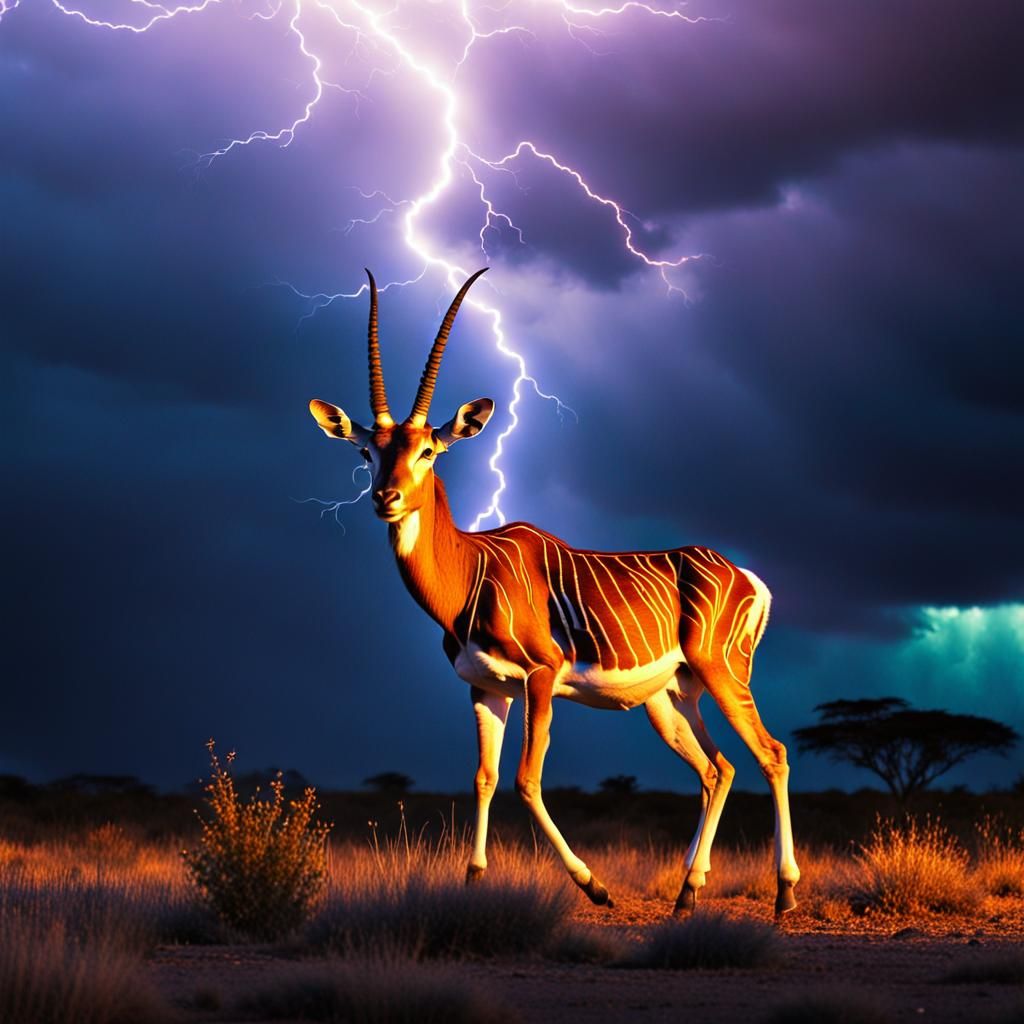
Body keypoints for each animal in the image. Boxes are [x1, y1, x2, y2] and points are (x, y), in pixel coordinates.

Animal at [308, 269, 800, 915]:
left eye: (429, 450)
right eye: (368, 450)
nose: (385, 498)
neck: (472, 568)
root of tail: (744, 575)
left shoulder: (540, 678)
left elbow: (526, 780)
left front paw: (595, 886)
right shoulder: (486, 689)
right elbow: (485, 778)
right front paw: (473, 881)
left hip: (723, 676)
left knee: (771, 754)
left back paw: (784, 893)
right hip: (672, 699)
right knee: (717, 769)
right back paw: (687, 893)